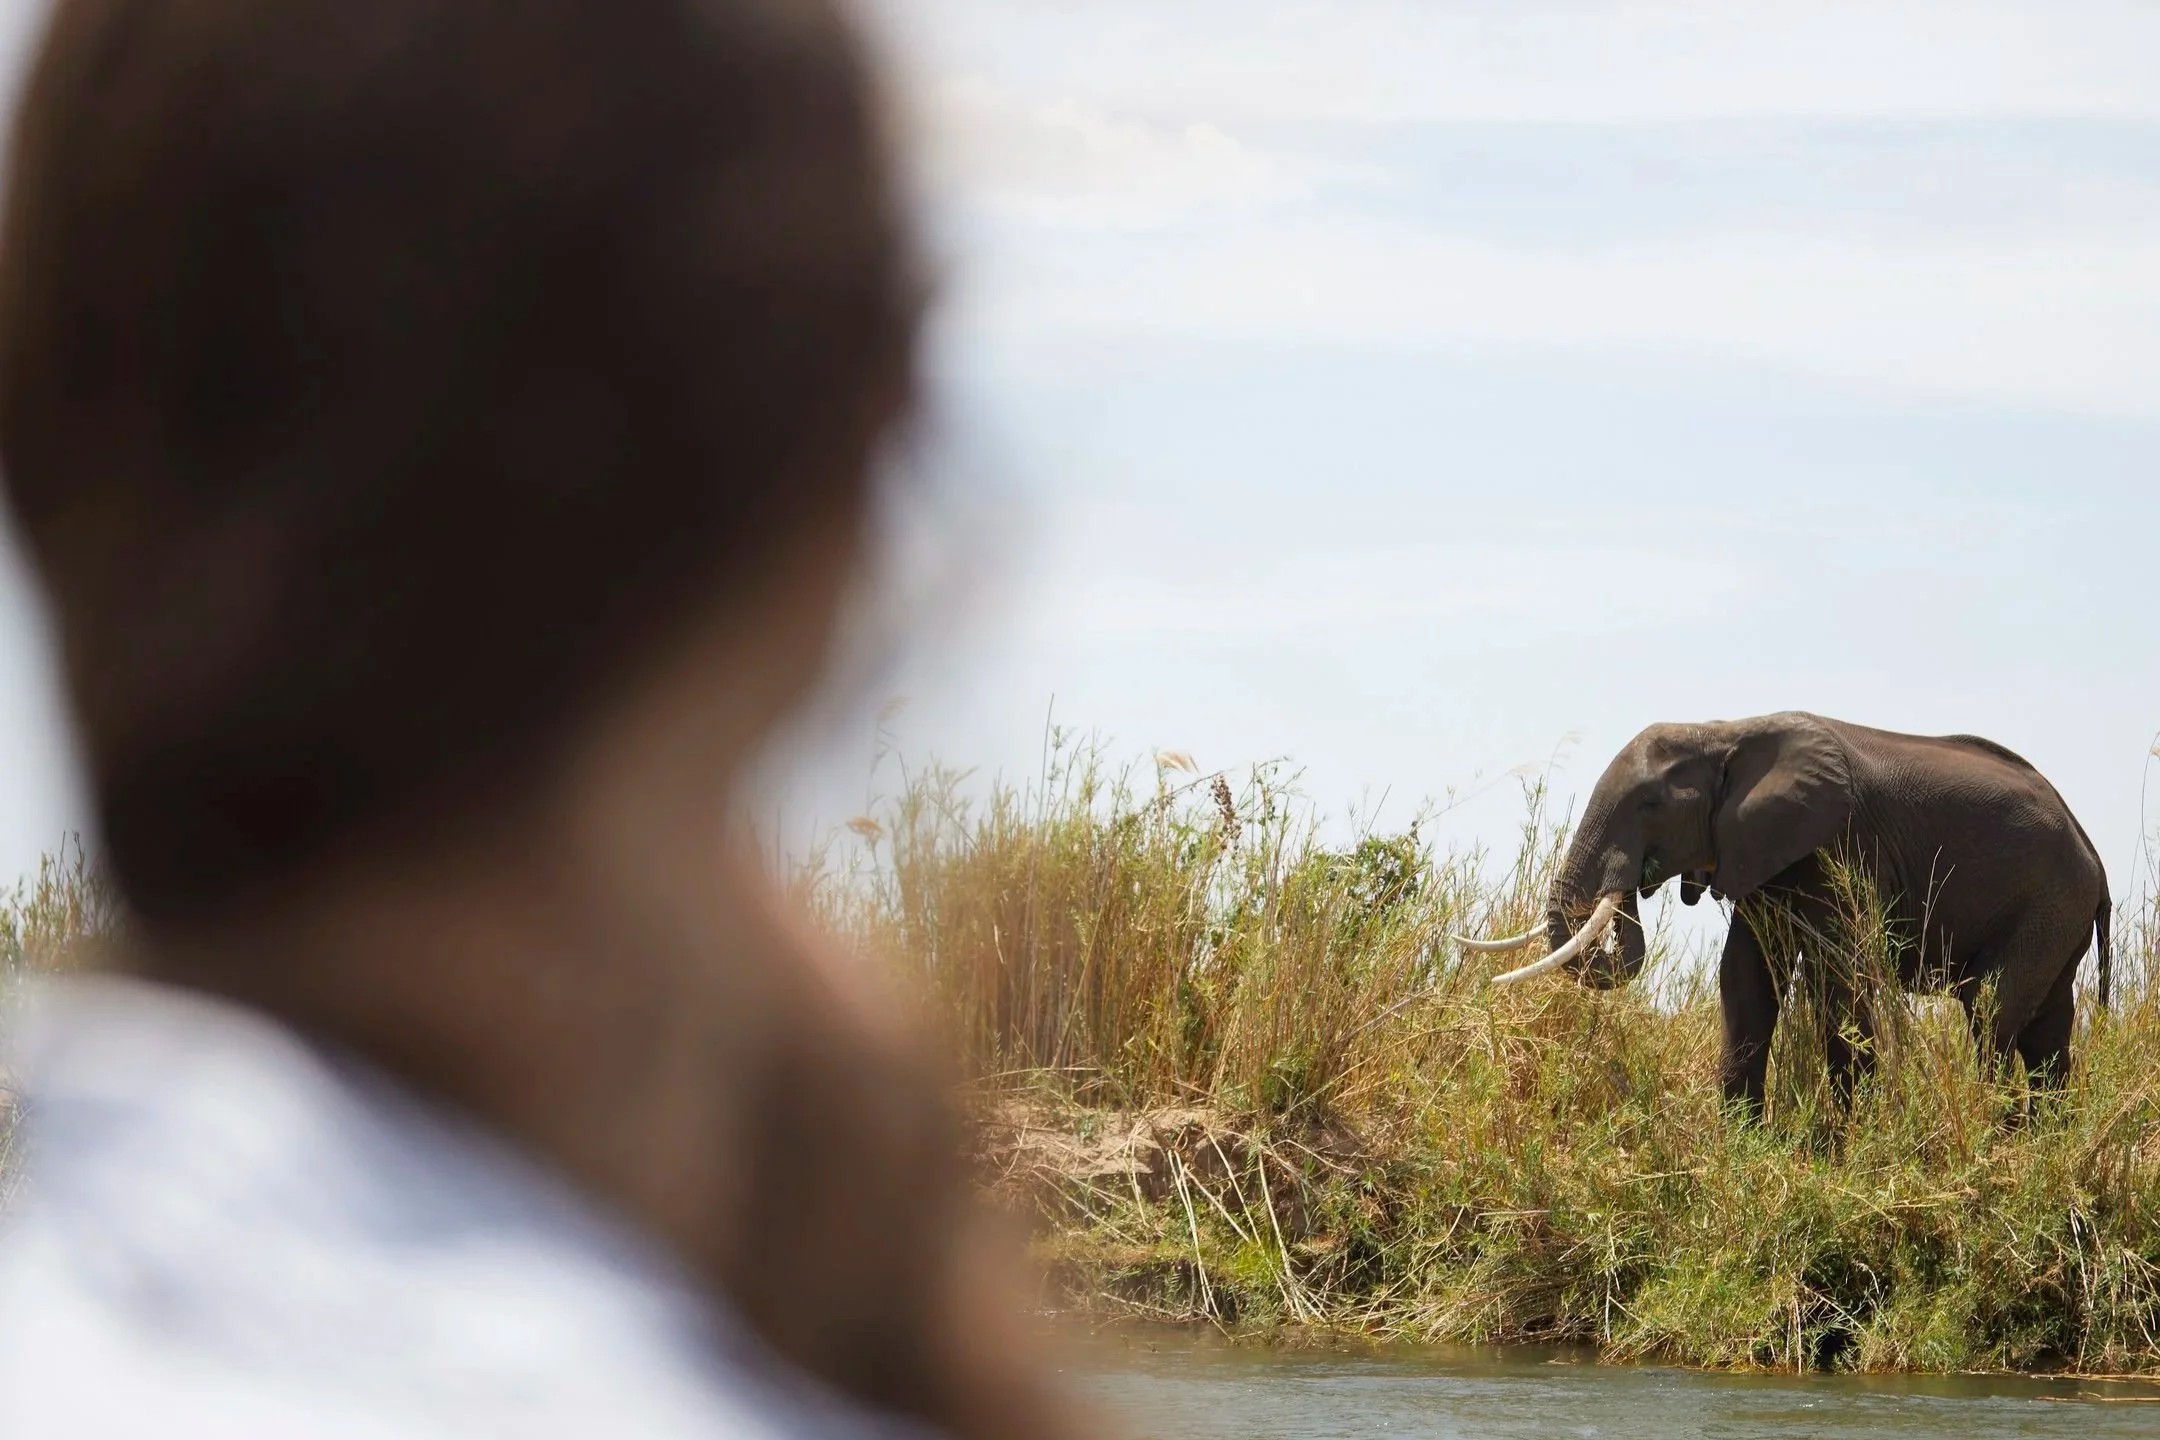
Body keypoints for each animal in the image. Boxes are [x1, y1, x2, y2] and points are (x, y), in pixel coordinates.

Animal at [1457, 712, 2112, 1117]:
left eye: (1650, 805)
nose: (1636, 885)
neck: (1724, 730)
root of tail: (2094, 857)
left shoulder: (1838, 847)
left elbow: (1837, 980)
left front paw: (1847, 1146)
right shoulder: (1757, 855)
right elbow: (1745, 979)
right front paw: (1740, 1145)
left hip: (2050, 899)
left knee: (1992, 1008)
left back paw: (1995, 1135)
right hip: (2057, 913)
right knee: (2047, 1029)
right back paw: (2043, 1146)